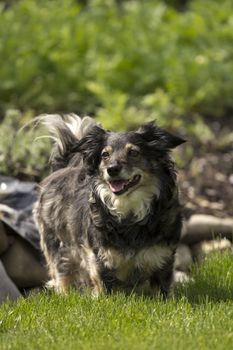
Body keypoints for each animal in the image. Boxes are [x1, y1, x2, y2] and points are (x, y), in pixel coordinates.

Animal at [33, 115, 185, 298]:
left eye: (133, 152)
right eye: (105, 154)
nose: (112, 169)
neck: (129, 209)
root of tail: (62, 168)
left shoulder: (163, 258)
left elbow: (164, 291)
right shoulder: (100, 259)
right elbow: (104, 290)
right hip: (59, 247)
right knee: (62, 276)